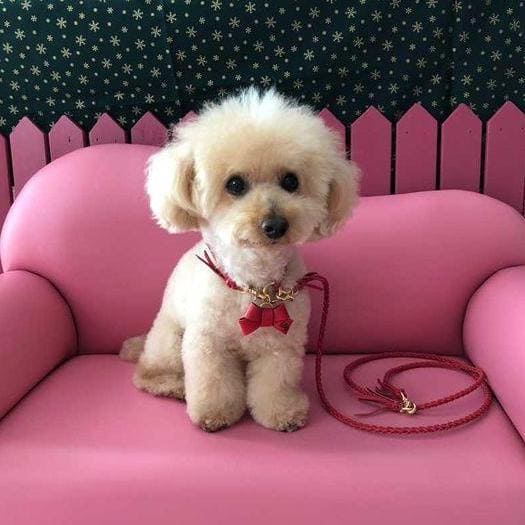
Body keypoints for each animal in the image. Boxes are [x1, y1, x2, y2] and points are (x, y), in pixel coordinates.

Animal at [120, 88, 359, 432]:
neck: (255, 284)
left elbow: (275, 382)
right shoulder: (208, 344)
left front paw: (282, 413)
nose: (275, 225)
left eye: (291, 181)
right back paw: (174, 386)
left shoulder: (280, 345)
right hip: (169, 341)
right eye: (235, 184)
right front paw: (213, 414)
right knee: (147, 374)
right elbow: (213, 383)